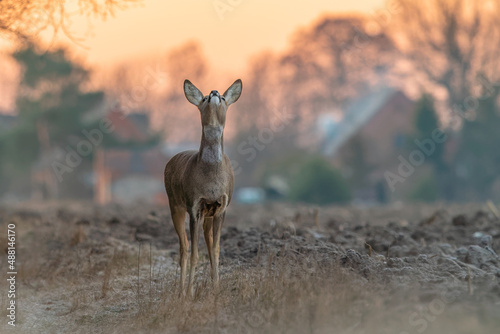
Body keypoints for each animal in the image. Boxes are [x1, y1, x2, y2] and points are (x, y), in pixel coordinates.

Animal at [164, 79, 242, 298]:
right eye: (205, 98)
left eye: (223, 97)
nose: (214, 91)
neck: (211, 179)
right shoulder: (194, 206)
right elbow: (194, 253)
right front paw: (190, 292)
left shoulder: (221, 207)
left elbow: (215, 250)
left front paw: (216, 288)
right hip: (174, 204)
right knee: (183, 247)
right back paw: (181, 290)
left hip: (208, 214)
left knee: (205, 243)